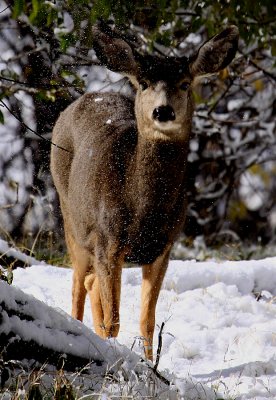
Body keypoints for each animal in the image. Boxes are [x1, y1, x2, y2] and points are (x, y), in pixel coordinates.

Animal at [50, 26, 238, 360]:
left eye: (185, 83)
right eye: (145, 83)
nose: (163, 110)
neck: (143, 210)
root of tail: (85, 97)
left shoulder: (164, 246)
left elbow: (147, 320)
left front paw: (150, 365)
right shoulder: (108, 240)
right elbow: (113, 319)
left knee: (89, 283)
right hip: (72, 217)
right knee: (77, 286)